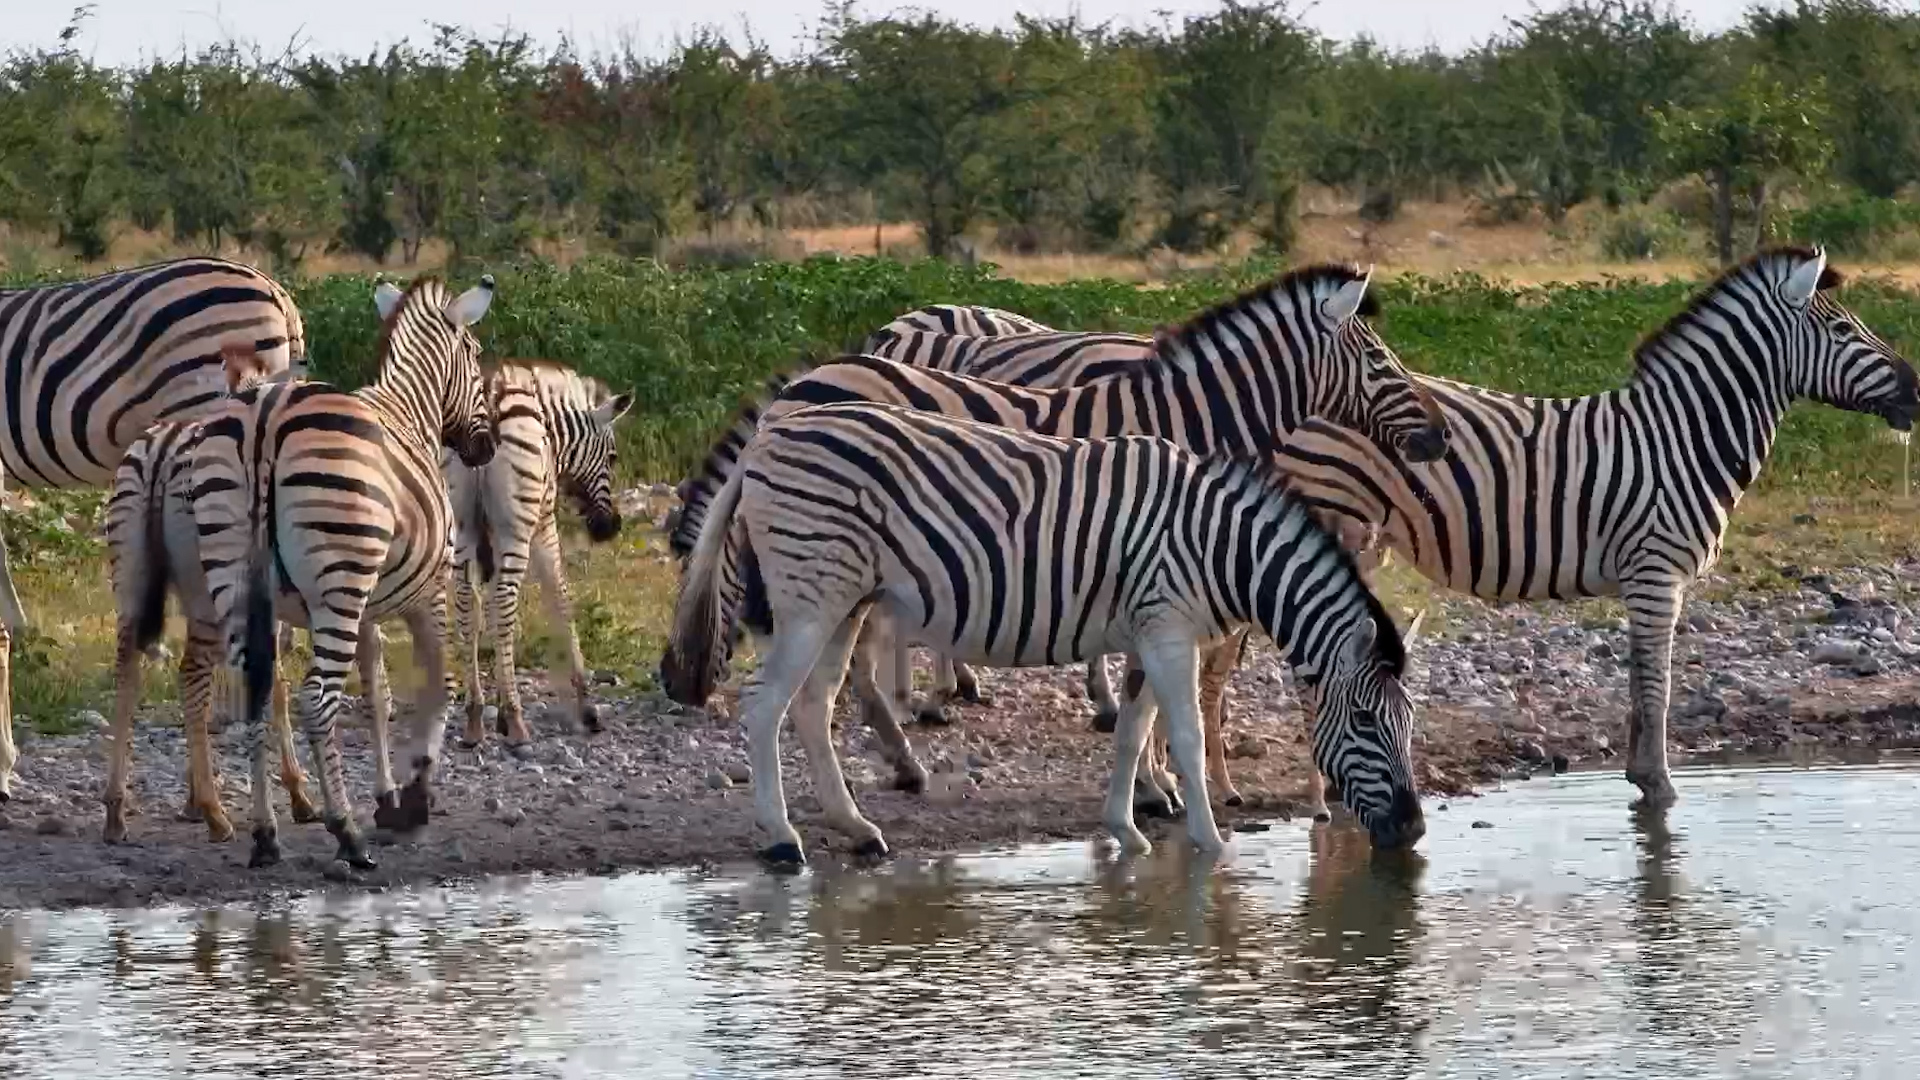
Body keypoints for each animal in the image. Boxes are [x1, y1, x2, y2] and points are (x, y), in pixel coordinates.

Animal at [192, 274, 498, 871]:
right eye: (475, 354)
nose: (487, 446)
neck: (409, 410)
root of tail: (264, 415)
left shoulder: (369, 606)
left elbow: (377, 693)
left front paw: (387, 796)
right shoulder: (426, 589)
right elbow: (438, 682)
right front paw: (416, 796)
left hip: (237, 575)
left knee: (255, 693)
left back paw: (265, 835)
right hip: (339, 583)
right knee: (316, 700)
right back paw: (346, 833)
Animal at [447, 359, 633, 747]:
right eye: (612, 457)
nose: (610, 527)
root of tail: (491, 399)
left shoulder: (488, 538)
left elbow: (490, 612)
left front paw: (500, 710)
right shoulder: (544, 522)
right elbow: (559, 599)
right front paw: (587, 708)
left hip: (463, 527)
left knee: (467, 605)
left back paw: (475, 719)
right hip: (519, 527)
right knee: (504, 600)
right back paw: (518, 724)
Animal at [659, 402, 1427, 864]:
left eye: (1408, 723)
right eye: (1365, 720)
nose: (1416, 829)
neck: (1219, 546)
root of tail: (769, 436)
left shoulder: (1149, 631)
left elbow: (1132, 731)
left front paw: (1125, 830)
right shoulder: (1169, 628)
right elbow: (1182, 736)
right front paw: (1211, 844)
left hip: (846, 600)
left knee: (814, 707)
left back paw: (855, 829)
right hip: (812, 594)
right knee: (766, 707)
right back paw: (782, 838)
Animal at [1193, 245, 1918, 814]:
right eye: (1846, 329)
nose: (1916, 387)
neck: (1681, 437)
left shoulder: (1644, 581)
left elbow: (1641, 684)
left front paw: (1640, 781)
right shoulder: (1657, 573)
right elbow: (1657, 686)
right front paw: (1660, 786)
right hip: (1329, 530)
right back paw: (1319, 798)